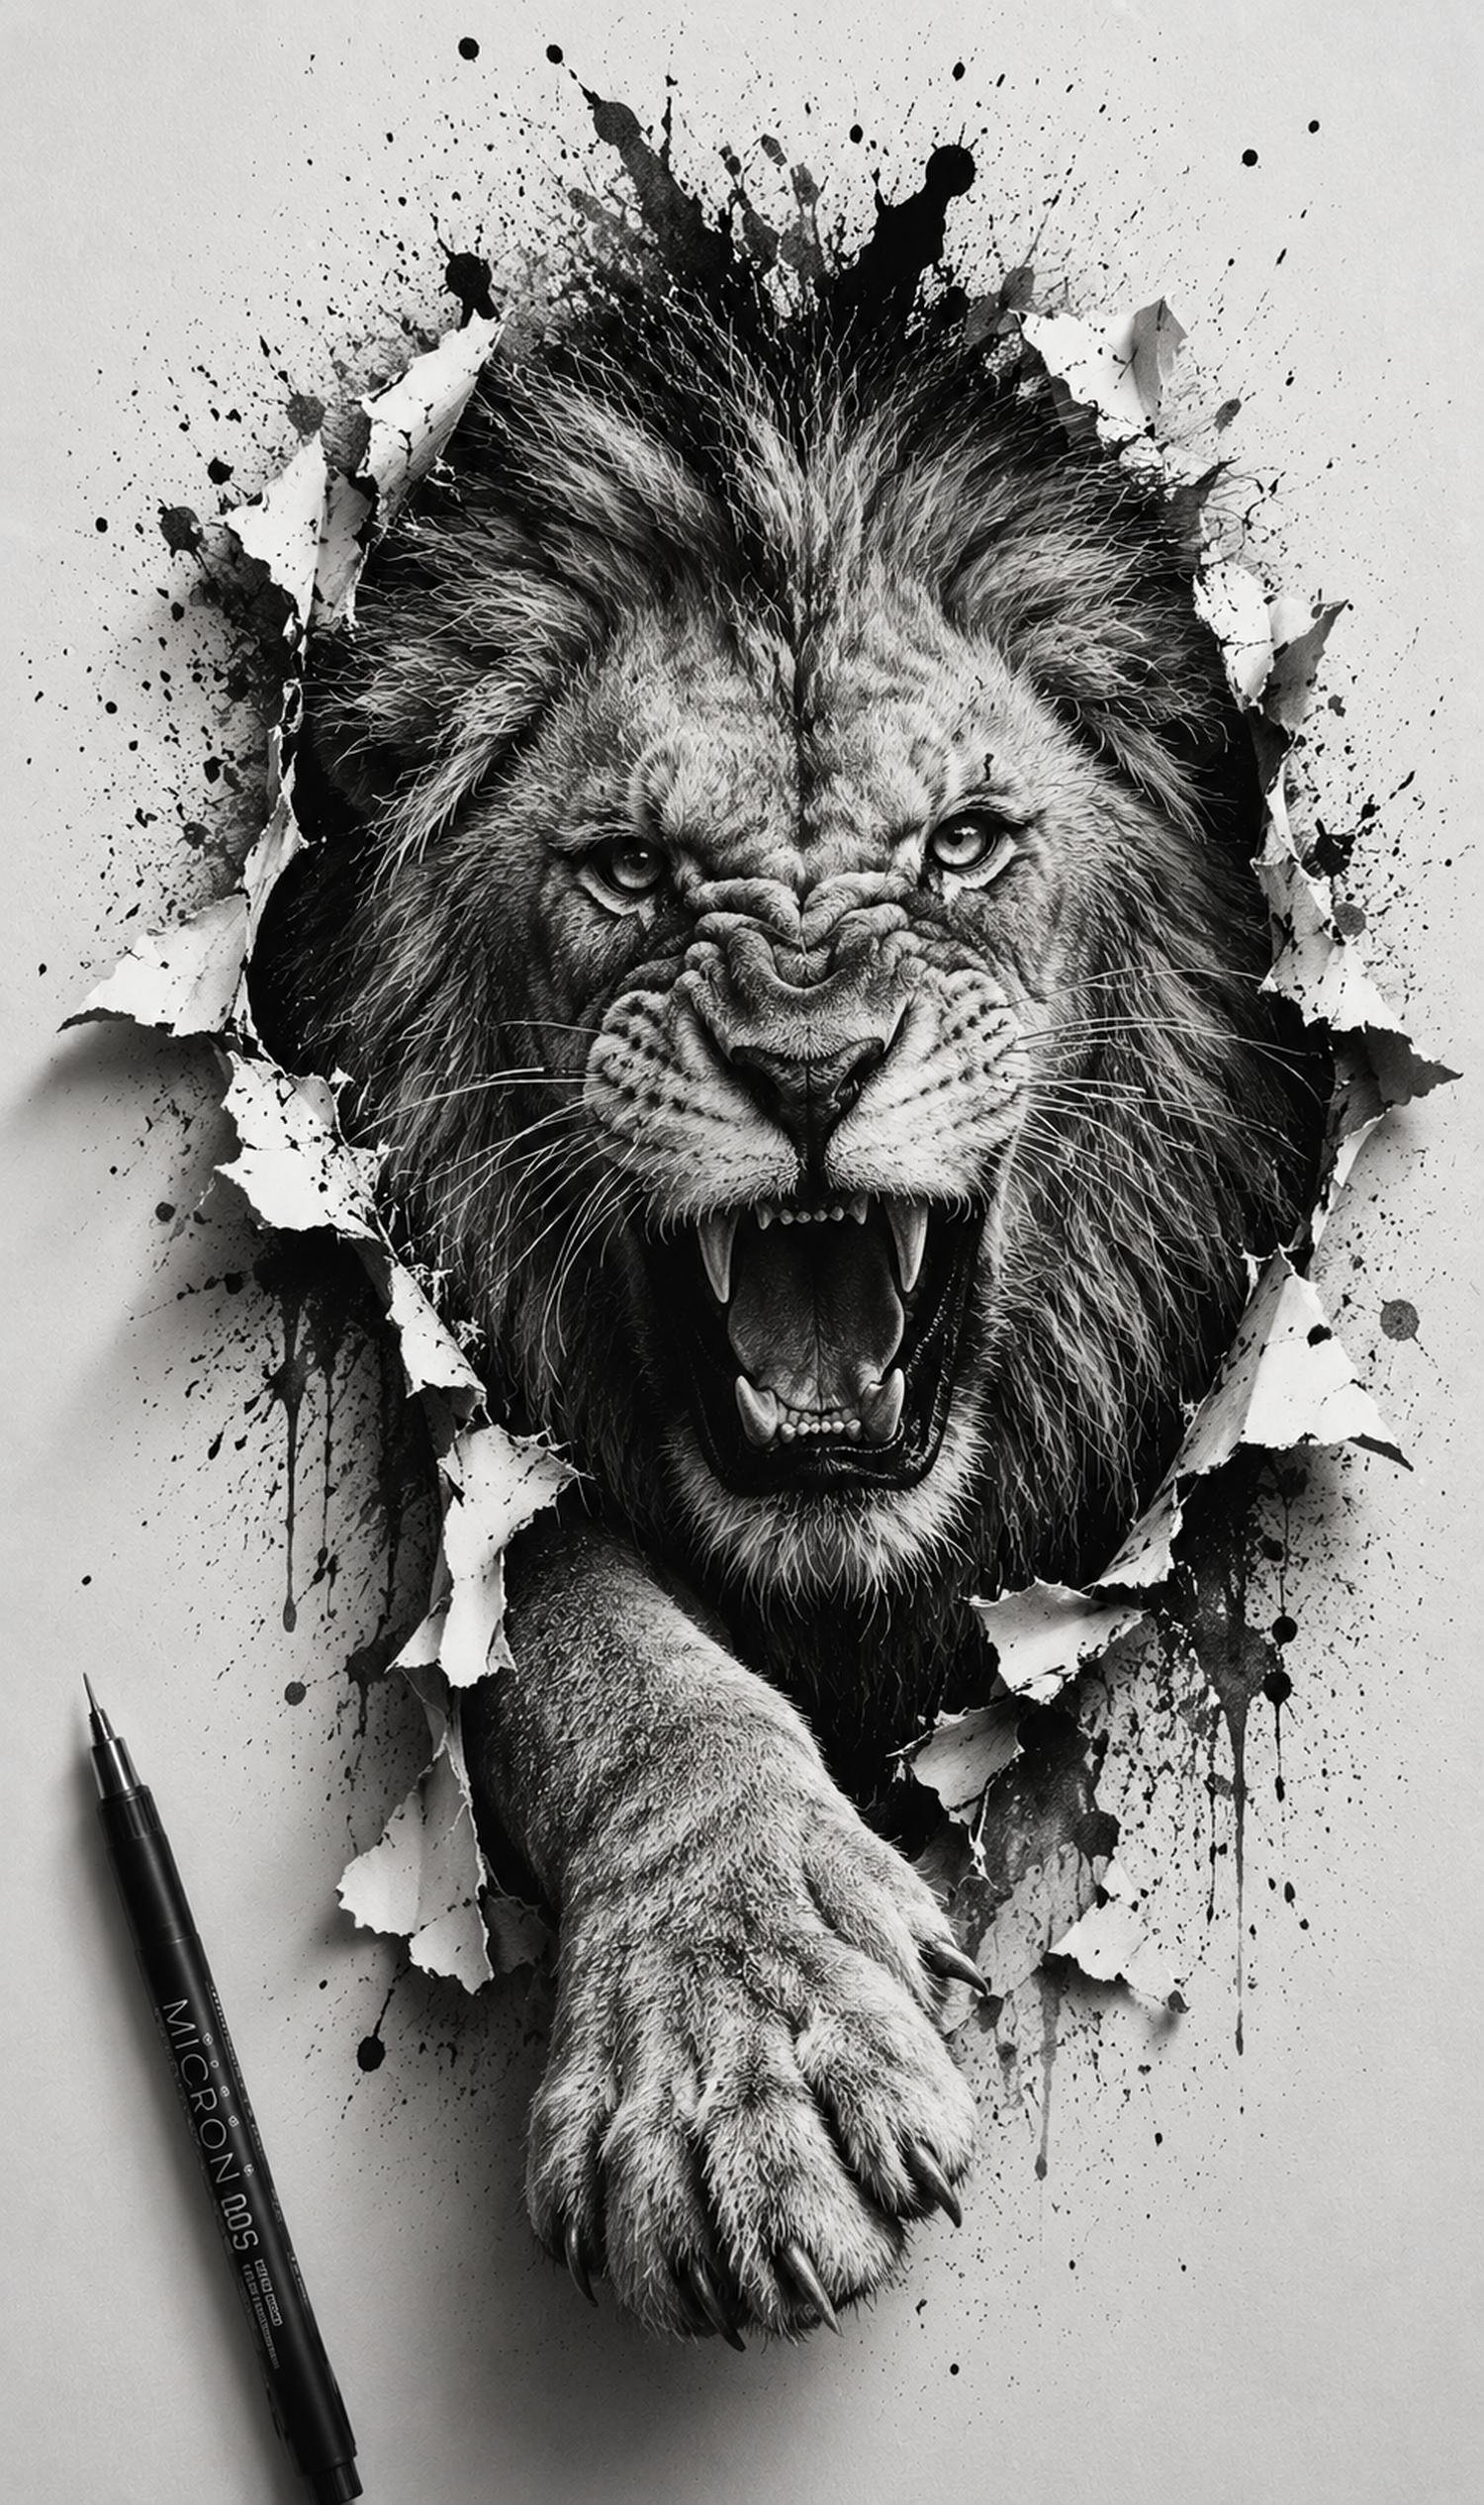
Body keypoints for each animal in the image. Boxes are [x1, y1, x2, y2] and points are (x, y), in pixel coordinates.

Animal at [253, 196, 1320, 2345]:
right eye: (631, 871)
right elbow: (596, 1646)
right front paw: (737, 2053)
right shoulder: (465, 1419)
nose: (811, 1069)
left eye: (967, 843)